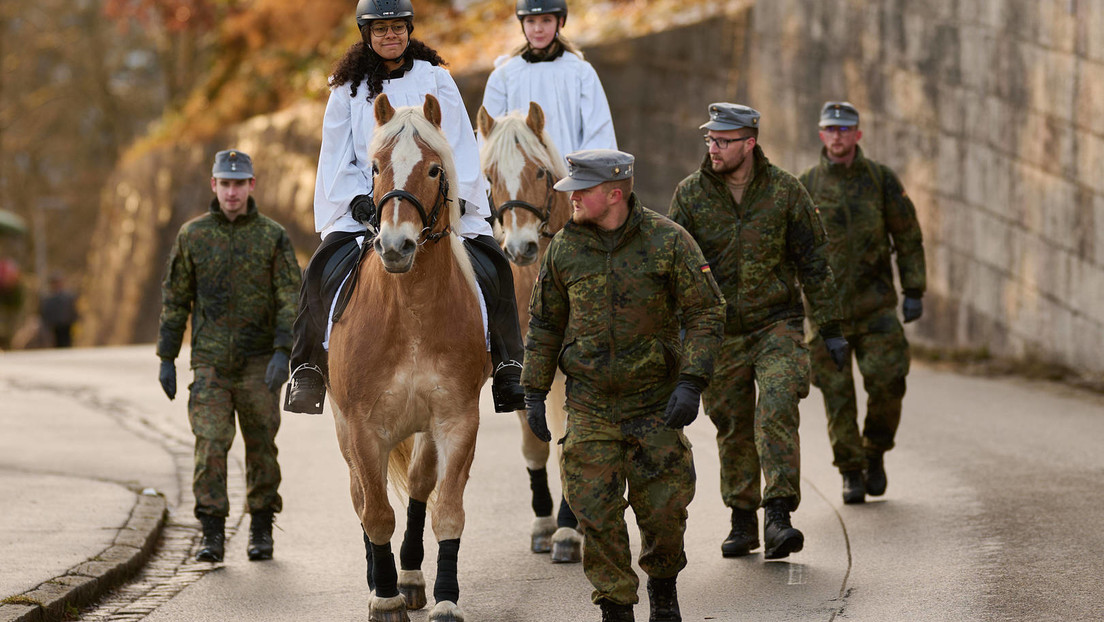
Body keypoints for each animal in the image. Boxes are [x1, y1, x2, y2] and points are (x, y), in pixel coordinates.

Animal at [324, 93, 485, 622]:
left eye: (434, 169)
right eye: (374, 167)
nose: (396, 246)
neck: (410, 312)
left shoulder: (456, 419)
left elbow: (447, 509)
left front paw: (446, 599)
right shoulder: (361, 427)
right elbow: (375, 512)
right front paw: (385, 598)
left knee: (417, 487)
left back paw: (412, 576)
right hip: (344, 430)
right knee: (361, 497)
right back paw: (382, 579)